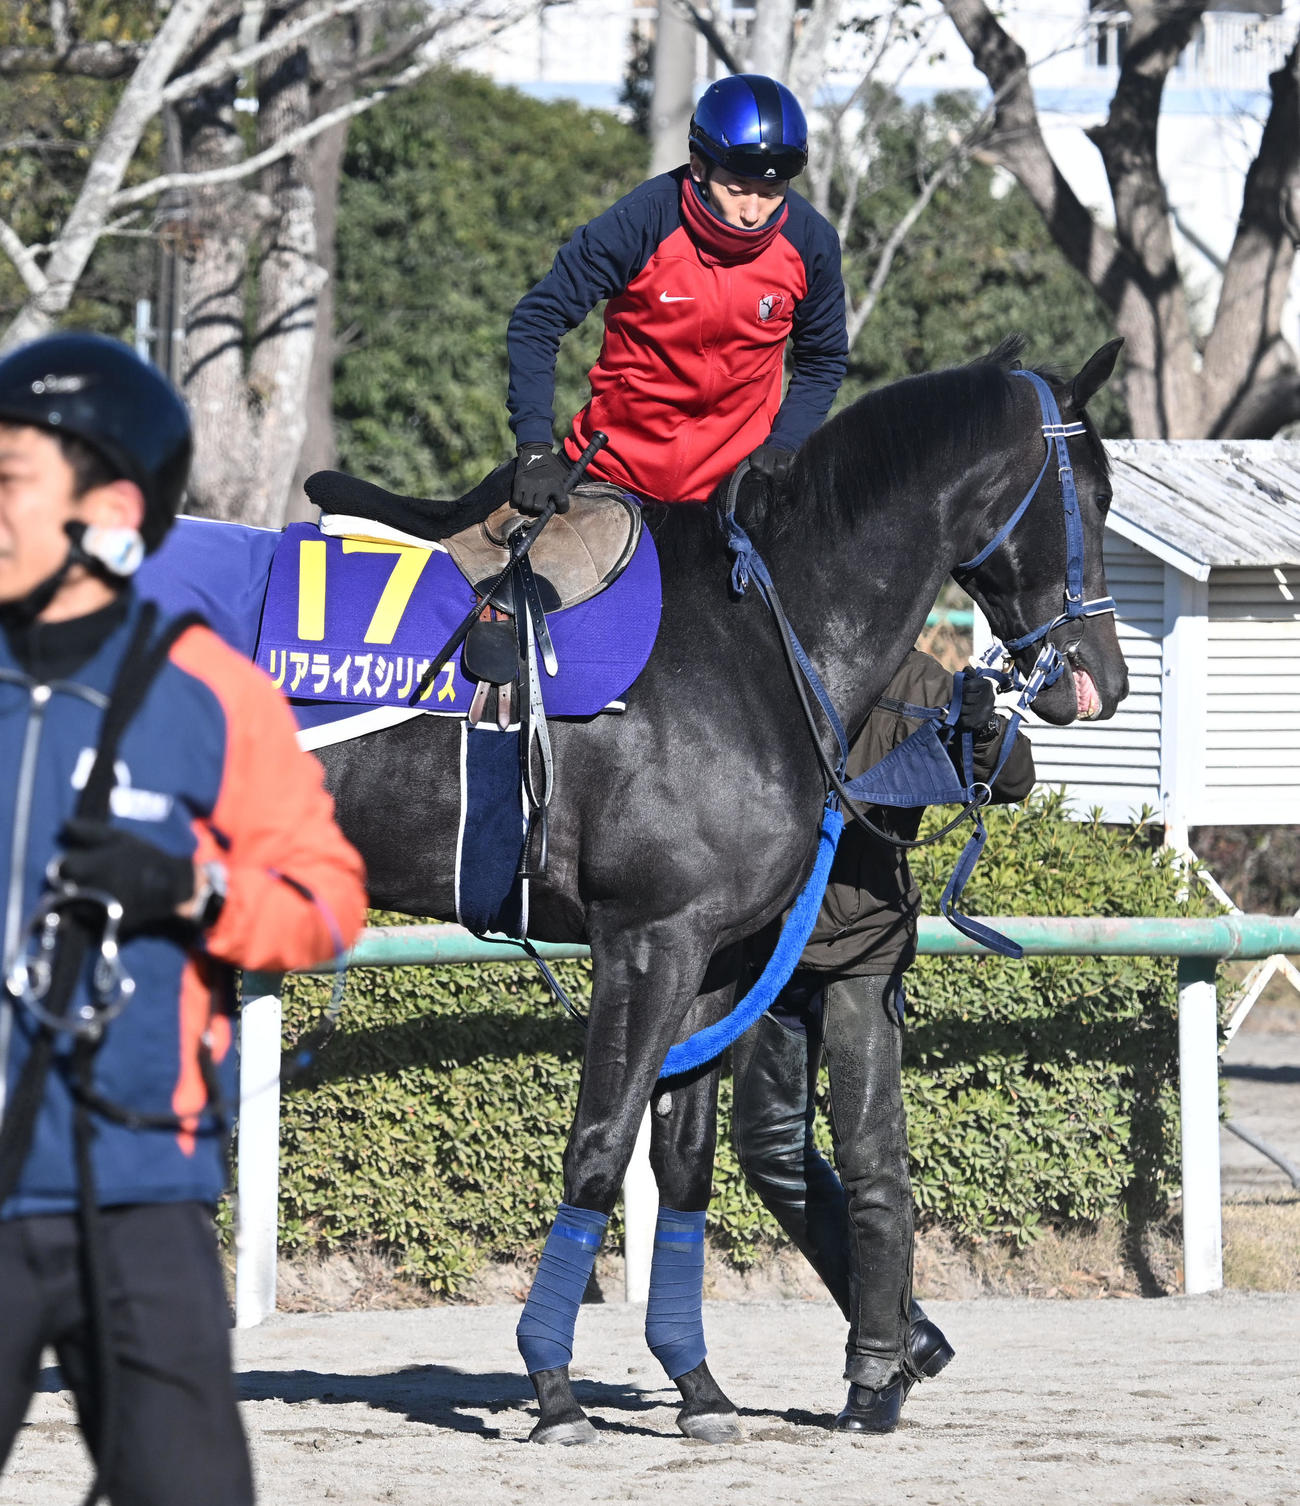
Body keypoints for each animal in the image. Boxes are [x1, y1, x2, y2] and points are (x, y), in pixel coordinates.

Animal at [313, 336, 1128, 1442]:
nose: (1102, 679)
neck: (749, 644)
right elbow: (601, 1146)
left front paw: (696, 1384)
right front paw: (554, 1387)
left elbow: (685, 1162)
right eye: (1095, 489)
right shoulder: (648, 942)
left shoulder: (711, 960)